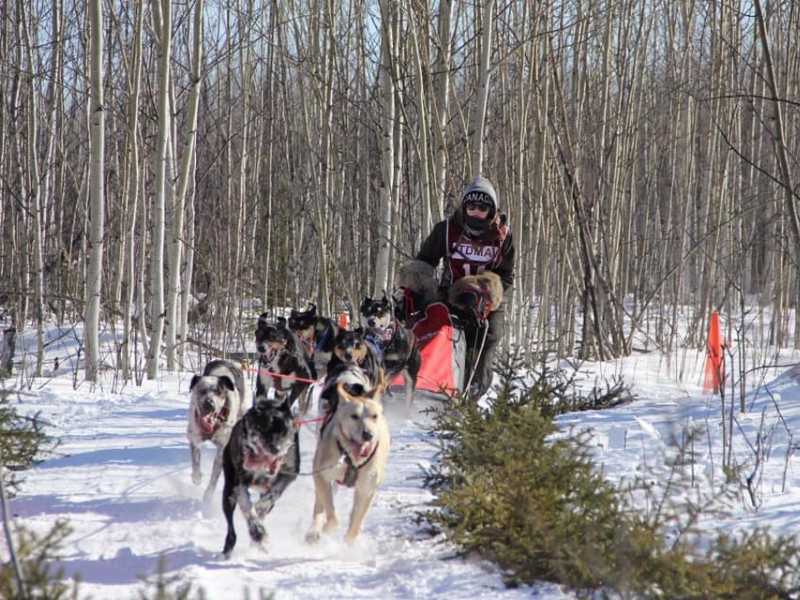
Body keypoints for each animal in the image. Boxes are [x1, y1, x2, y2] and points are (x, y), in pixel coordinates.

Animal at [188, 358, 250, 504]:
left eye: (218, 391)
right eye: (201, 390)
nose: (209, 404)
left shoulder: (222, 448)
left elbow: (214, 477)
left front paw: (208, 495)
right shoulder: (194, 439)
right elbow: (195, 462)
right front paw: (197, 477)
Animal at [220, 396, 298, 560]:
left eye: (284, 430)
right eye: (262, 430)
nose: (276, 449)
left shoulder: (288, 475)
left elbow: (270, 497)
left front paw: (260, 508)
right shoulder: (240, 483)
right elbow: (248, 508)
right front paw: (257, 531)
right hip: (228, 492)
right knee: (231, 526)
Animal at [304, 372, 390, 548]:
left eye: (374, 416)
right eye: (354, 416)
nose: (368, 434)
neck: (352, 459)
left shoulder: (367, 490)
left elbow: (355, 524)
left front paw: (348, 543)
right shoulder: (322, 476)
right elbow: (331, 515)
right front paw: (327, 528)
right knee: (319, 506)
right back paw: (314, 532)